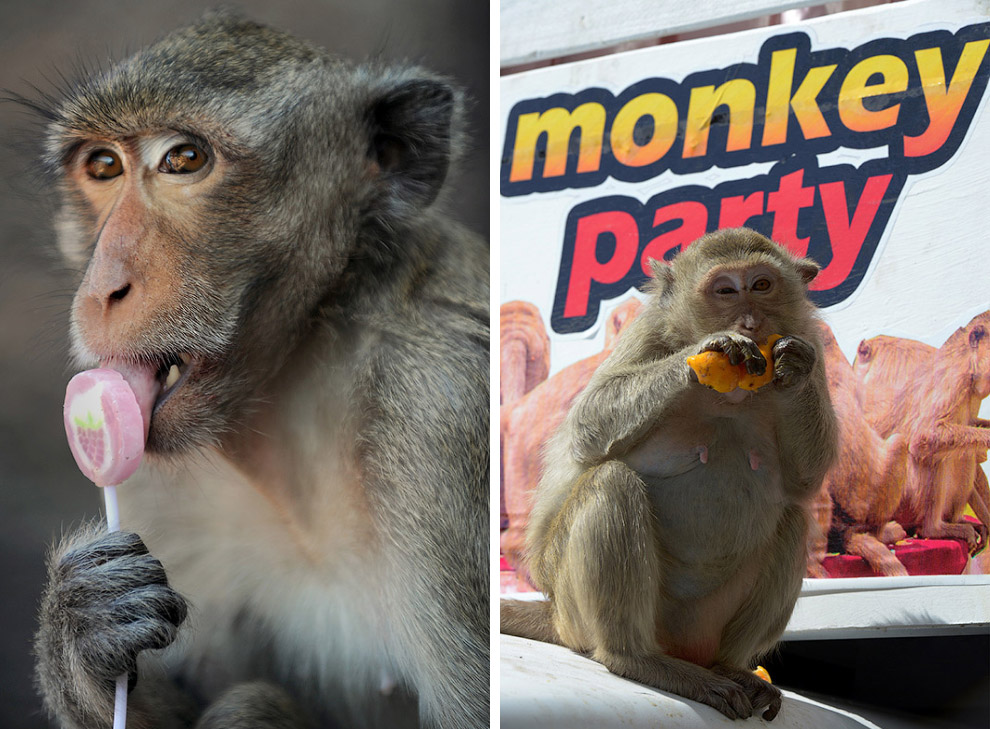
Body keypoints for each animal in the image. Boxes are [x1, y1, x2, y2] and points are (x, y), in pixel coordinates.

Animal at [501, 228, 837, 722]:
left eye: (761, 285)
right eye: (725, 291)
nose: (750, 322)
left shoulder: (812, 341)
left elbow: (807, 477)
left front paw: (791, 365)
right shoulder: (647, 334)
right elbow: (588, 423)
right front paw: (708, 351)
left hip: (706, 625)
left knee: (794, 519)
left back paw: (729, 668)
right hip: (576, 609)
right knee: (611, 483)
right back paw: (635, 658)